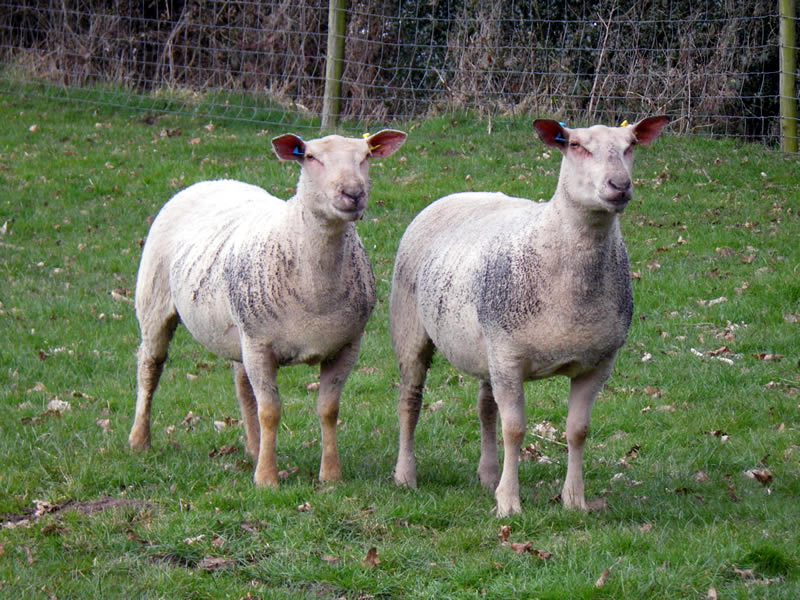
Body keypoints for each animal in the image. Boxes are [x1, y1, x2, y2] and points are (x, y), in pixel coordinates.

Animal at [130, 129, 410, 486]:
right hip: (155, 301)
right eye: (310, 157)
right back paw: (139, 440)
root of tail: (210, 180)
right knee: (150, 366)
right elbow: (270, 411)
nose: (353, 193)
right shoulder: (261, 345)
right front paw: (266, 478)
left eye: (366, 157)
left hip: (239, 332)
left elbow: (328, 409)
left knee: (241, 385)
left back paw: (252, 446)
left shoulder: (346, 346)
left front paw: (331, 475)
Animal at [388, 116, 668, 516]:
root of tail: (457, 194)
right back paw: (406, 475)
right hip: (410, 326)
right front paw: (509, 502)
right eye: (575, 145)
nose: (620, 185)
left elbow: (577, 430)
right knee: (410, 401)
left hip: (486, 347)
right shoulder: (509, 357)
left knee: (485, 408)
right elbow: (515, 429)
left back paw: (488, 474)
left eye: (631, 146)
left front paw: (574, 500)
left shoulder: (598, 363)